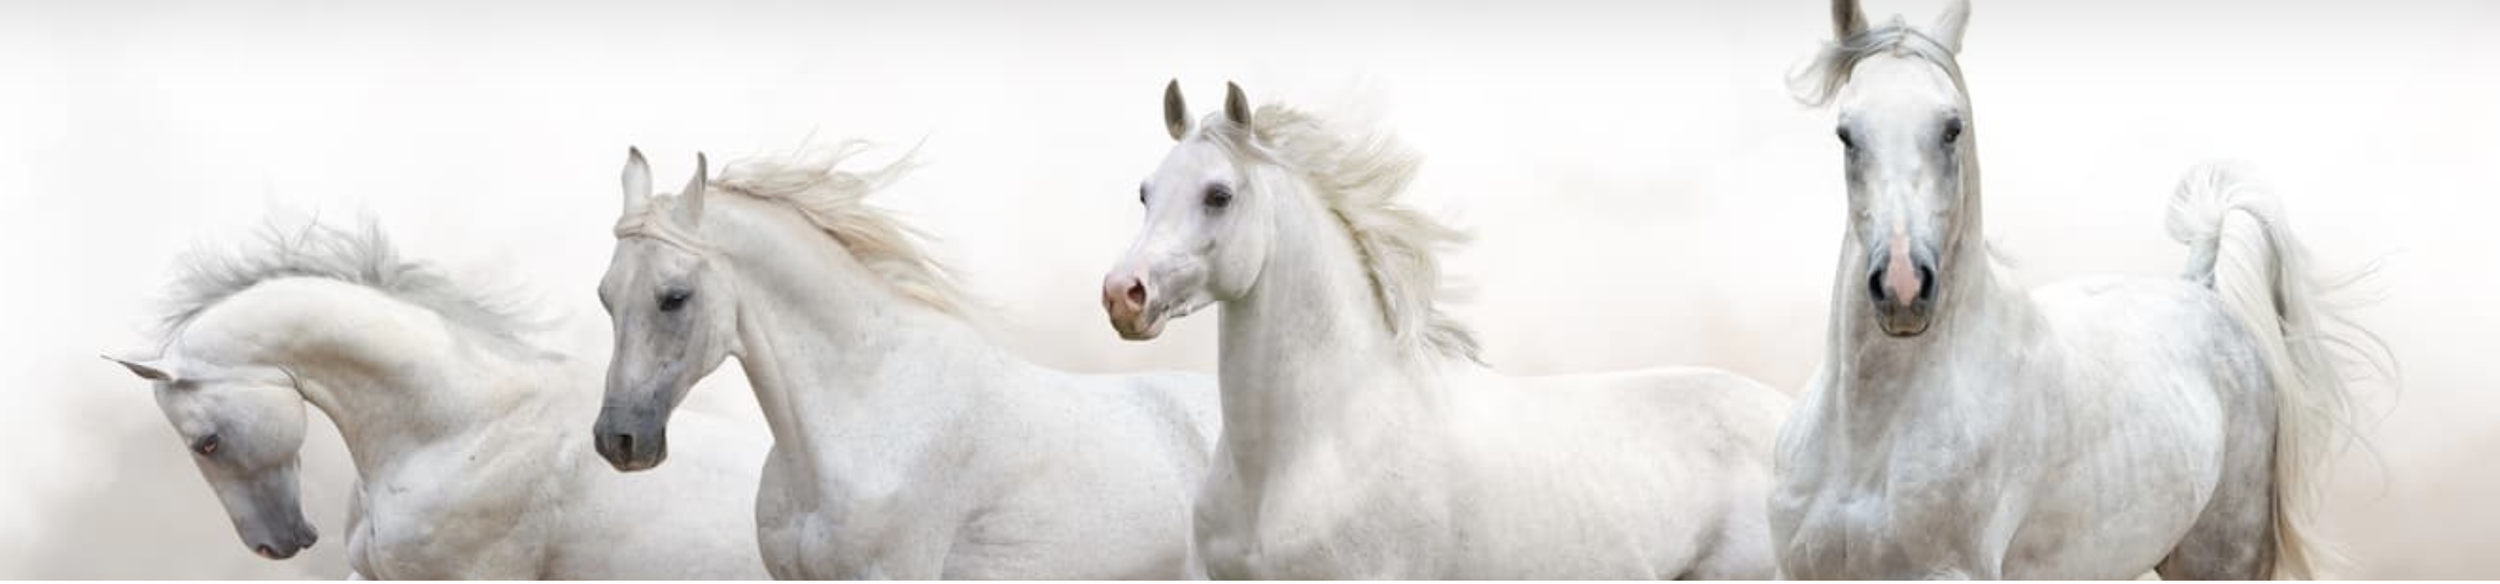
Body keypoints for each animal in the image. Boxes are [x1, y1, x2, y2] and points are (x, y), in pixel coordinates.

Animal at [1768, 0, 2392, 578]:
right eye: (1846, 133)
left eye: (1952, 128)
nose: (1902, 286)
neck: (1868, 438)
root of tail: (2206, 293)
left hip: (2222, 558)